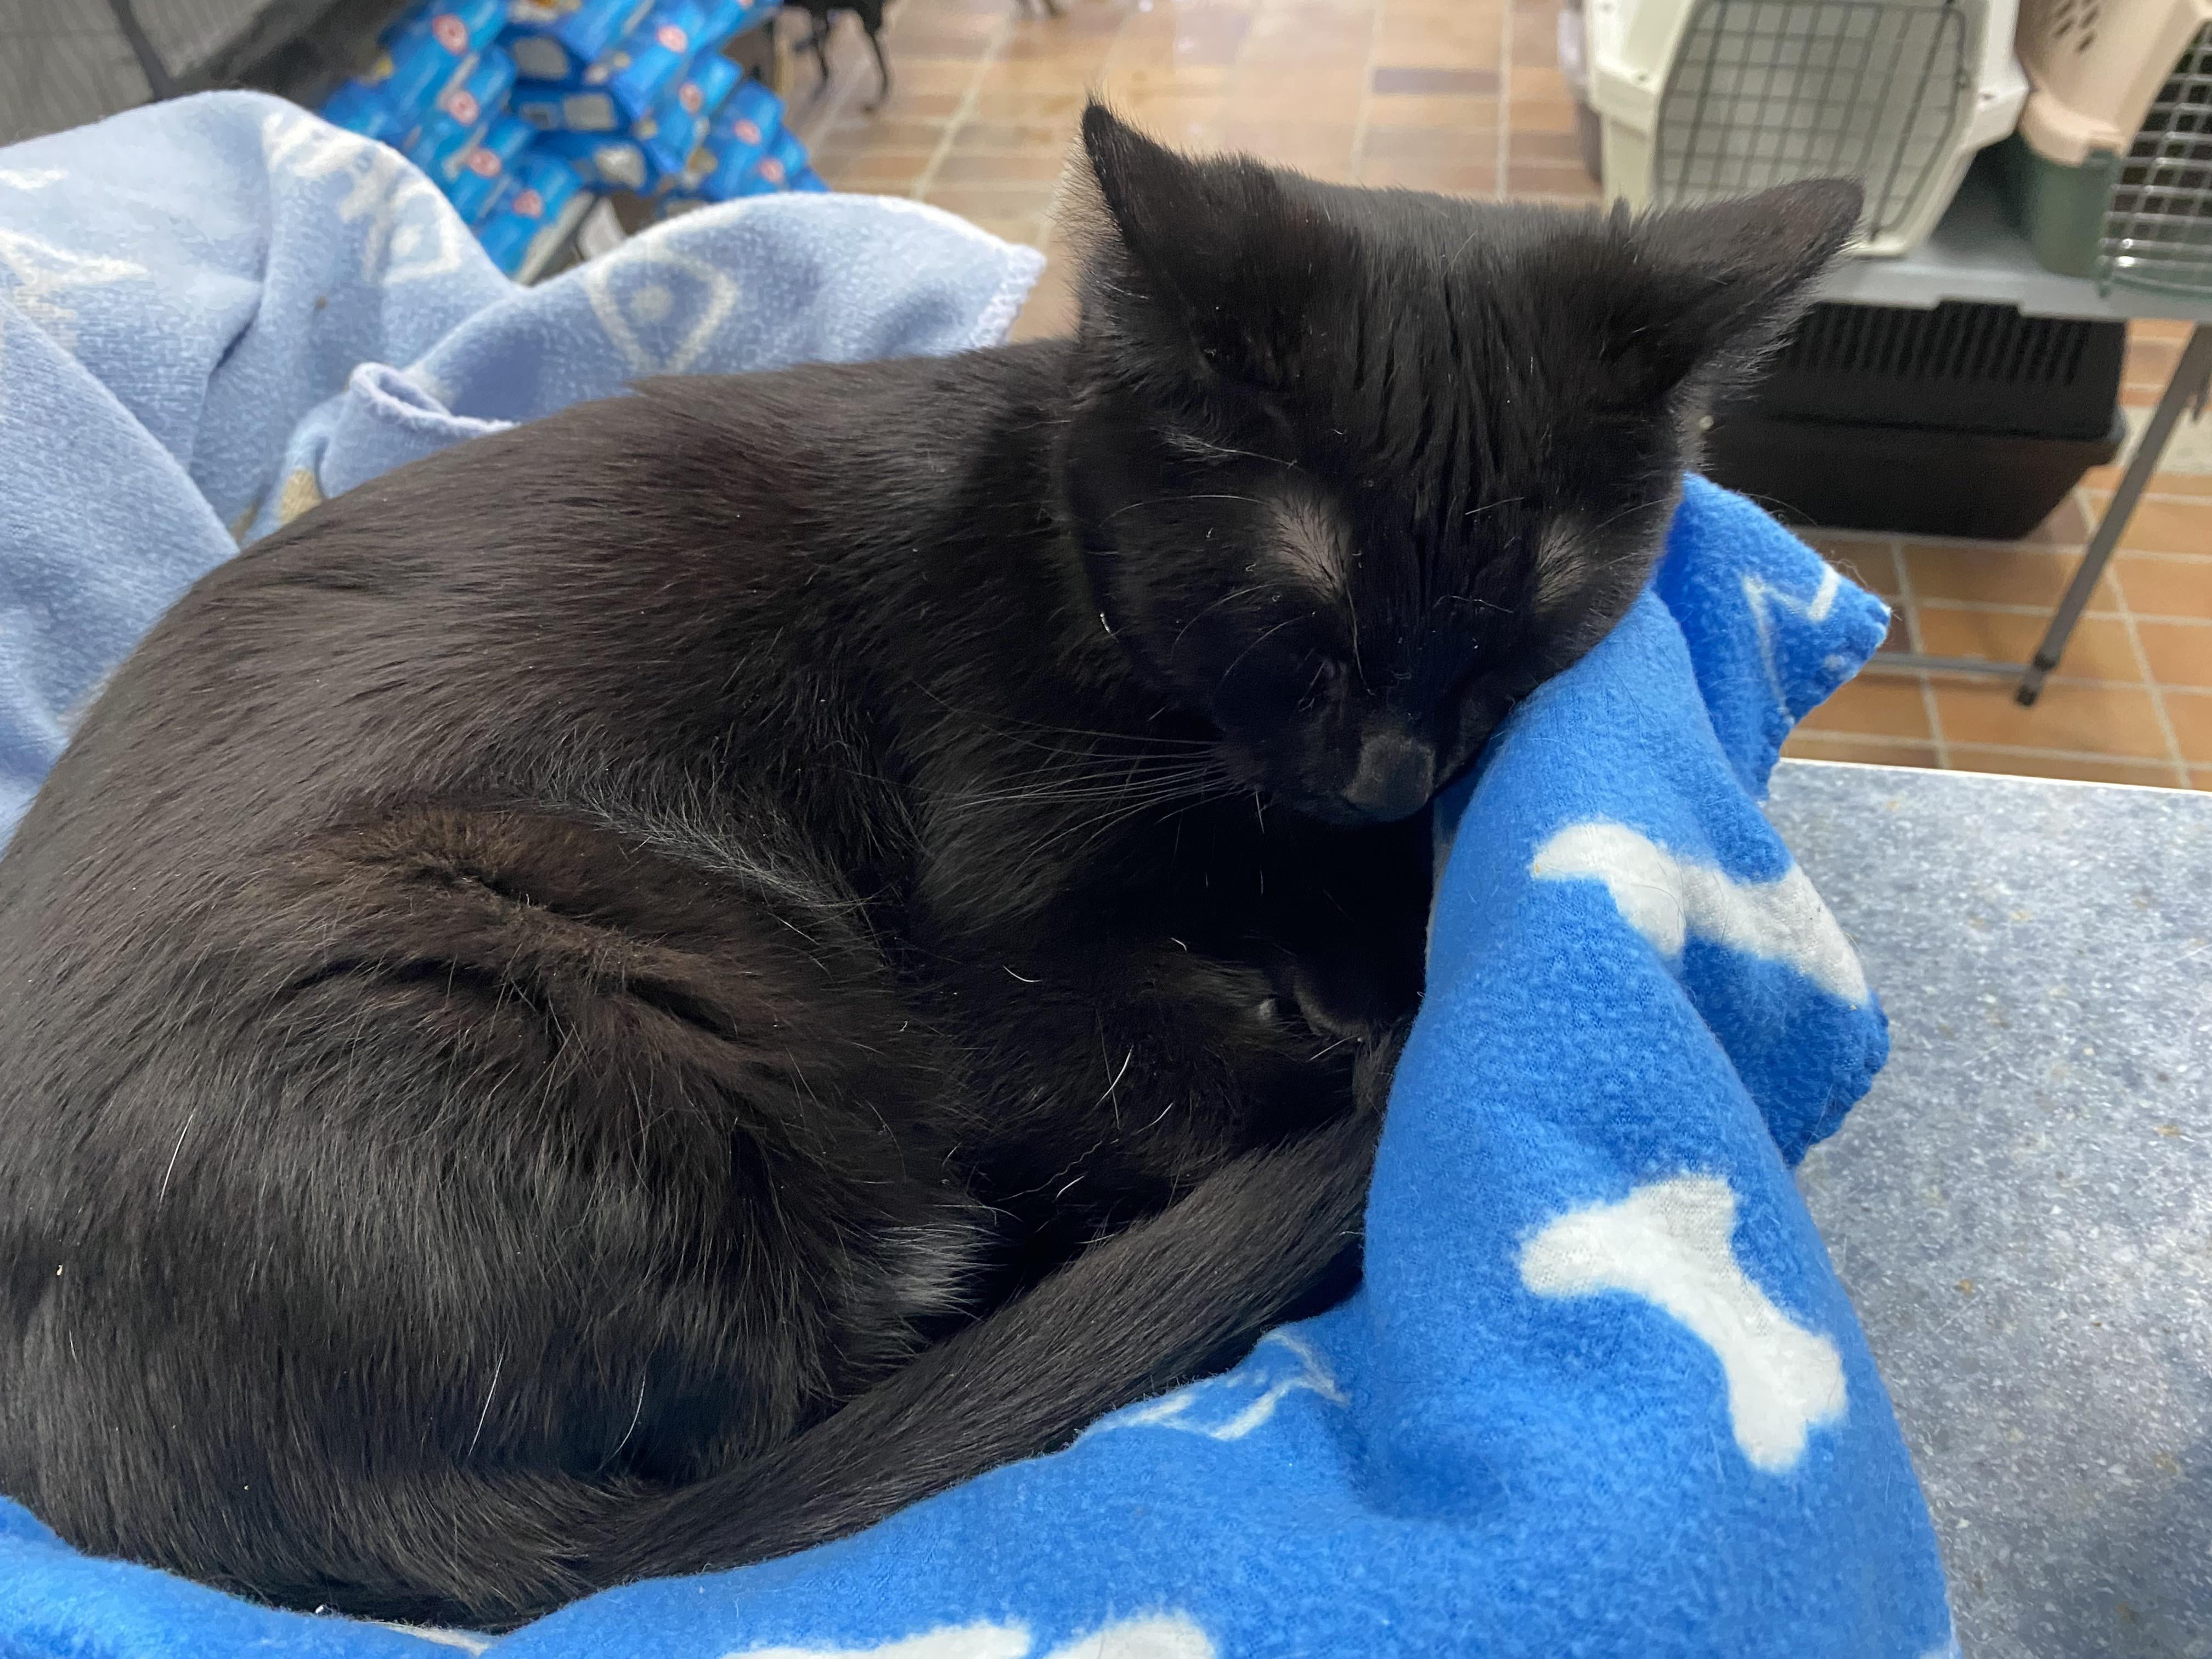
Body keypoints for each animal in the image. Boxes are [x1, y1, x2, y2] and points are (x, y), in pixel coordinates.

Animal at [0, 104, 1859, 1629]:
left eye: (1516, 640)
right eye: (1299, 628)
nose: (1390, 775)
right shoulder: (990, 946)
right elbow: (1181, 1064)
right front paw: (1347, 1042)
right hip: (659, 989)